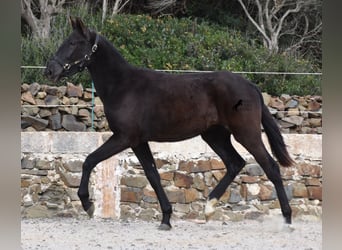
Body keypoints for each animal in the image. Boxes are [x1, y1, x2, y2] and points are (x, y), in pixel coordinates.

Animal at [44, 16, 292, 229]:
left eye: (73, 43)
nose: (50, 70)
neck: (123, 86)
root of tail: (251, 86)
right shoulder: (138, 141)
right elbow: (152, 175)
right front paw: (166, 218)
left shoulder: (124, 137)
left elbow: (89, 160)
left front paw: (88, 204)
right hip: (215, 135)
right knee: (235, 163)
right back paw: (209, 208)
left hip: (246, 133)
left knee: (270, 166)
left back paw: (287, 220)